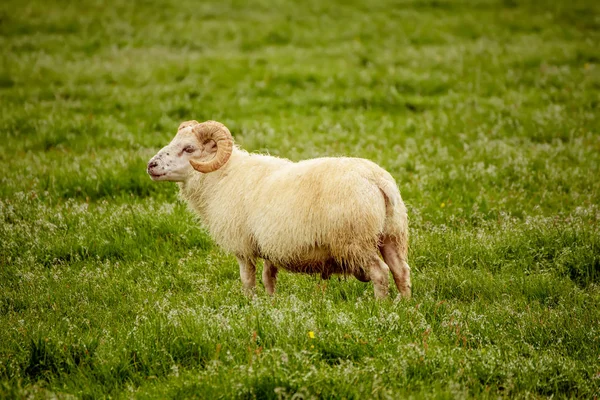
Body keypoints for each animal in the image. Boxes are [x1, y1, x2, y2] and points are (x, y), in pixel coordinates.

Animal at [148, 120, 412, 298]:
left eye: (189, 149)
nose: (151, 165)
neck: (222, 177)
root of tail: (377, 180)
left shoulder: (242, 246)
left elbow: (247, 279)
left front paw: (249, 304)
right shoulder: (268, 246)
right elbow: (269, 278)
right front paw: (270, 303)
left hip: (355, 240)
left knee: (380, 272)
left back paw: (380, 307)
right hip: (391, 235)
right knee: (401, 271)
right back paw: (403, 306)